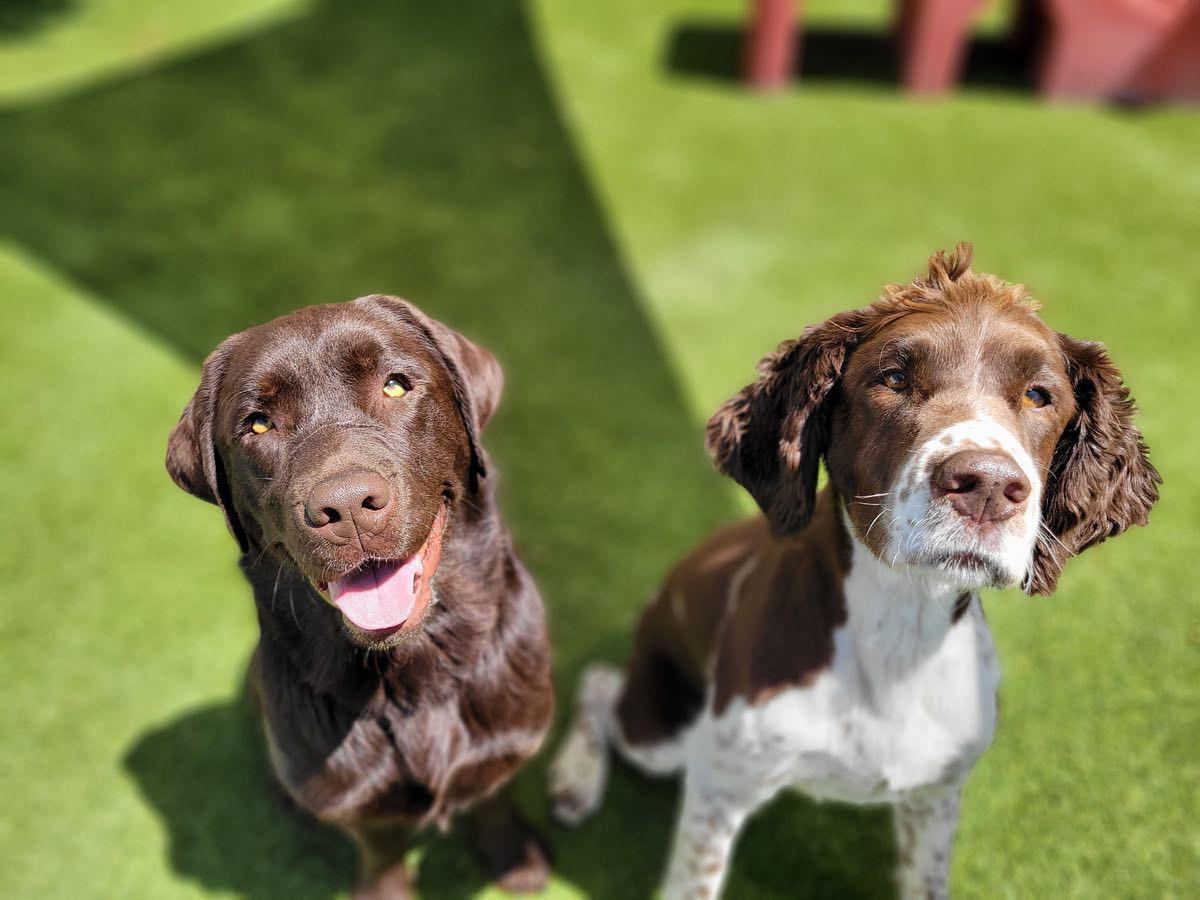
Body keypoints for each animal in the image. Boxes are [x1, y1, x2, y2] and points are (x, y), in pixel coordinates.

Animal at [549, 247, 1156, 900]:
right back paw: (573, 779)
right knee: (601, 683)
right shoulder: (720, 783)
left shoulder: (936, 795)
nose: (989, 486)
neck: (896, 633)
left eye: (1040, 395)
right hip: (664, 734)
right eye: (892, 378)